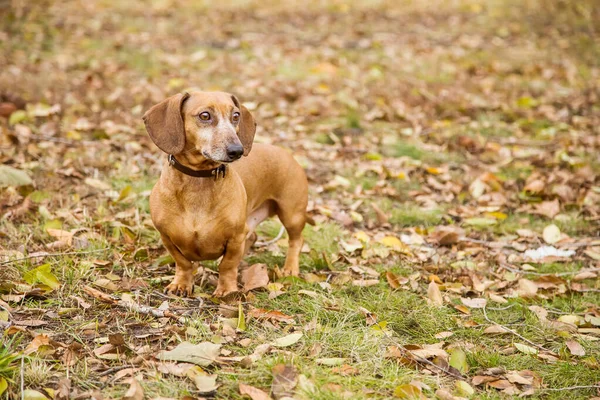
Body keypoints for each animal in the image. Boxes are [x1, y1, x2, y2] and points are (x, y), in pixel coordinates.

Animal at [142, 90, 308, 296]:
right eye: (205, 116)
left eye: (236, 116)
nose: (237, 150)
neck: (198, 180)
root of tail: (286, 153)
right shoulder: (166, 237)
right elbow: (183, 263)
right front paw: (181, 284)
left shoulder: (235, 237)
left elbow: (227, 265)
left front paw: (227, 290)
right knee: (252, 237)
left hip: (291, 214)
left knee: (296, 240)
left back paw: (290, 268)